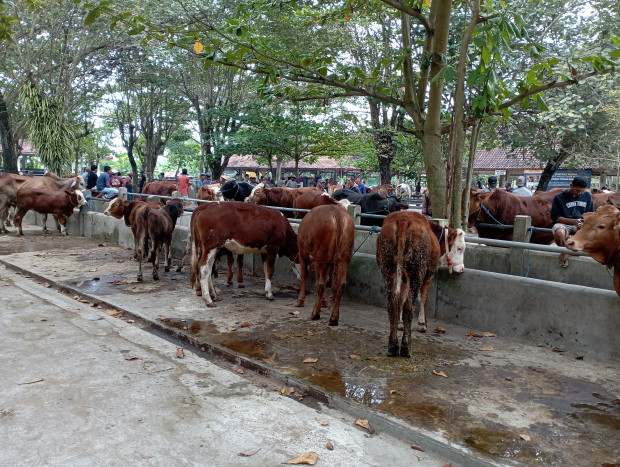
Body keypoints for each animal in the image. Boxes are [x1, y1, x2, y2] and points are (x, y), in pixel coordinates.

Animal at [376, 212, 468, 358]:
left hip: (388, 271)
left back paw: (393, 346)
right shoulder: (428, 276)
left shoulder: (403, 279)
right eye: (460, 248)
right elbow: (423, 298)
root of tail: (403, 219)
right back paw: (406, 347)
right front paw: (422, 323)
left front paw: (400, 323)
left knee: (392, 305)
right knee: (409, 306)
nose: (462, 268)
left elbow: (401, 298)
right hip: (416, 273)